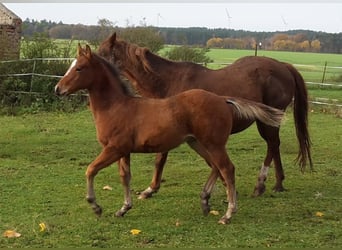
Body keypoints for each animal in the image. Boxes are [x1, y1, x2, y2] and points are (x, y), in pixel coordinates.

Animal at [54, 44, 284, 224]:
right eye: (71, 66)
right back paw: (204, 200)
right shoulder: (123, 151)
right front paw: (123, 208)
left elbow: (90, 170)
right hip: (197, 143)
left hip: (214, 144)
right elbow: (125, 177)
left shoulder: (114, 149)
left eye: (80, 68)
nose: (58, 89)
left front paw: (95, 206)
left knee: (227, 168)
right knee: (215, 167)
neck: (117, 107)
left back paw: (228, 214)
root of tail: (222, 99)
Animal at [99, 32, 312, 198]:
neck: (169, 81)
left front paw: (150, 189)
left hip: (266, 121)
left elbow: (164, 158)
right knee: (274, 146)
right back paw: (278, 183)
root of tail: (283, 66)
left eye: (101, 54)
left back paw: (261, 184)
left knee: (272, 145)